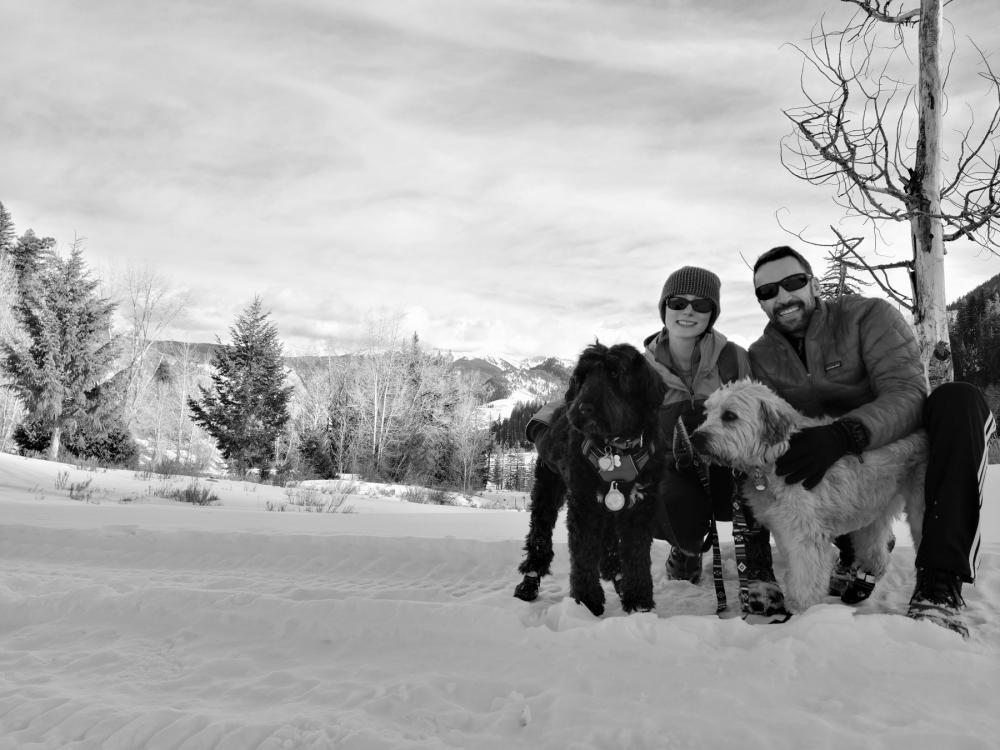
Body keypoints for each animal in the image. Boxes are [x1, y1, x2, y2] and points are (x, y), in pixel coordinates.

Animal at [516, 344, 664, 612]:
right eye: (582, 377)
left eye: (615, 373)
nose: (584, 408)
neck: (616, 449)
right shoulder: (584, 505)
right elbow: (583, 553)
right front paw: (587, 601)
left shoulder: (640, 507)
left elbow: (637, 554)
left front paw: (639, 601)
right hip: (547, 490)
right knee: (539, 537)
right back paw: (529, 582)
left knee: (609, 548)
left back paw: (618, 579)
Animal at [688, 382, 928, 612]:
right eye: (708, 413)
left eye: (729, 415)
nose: (695, 438)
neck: (777, 456)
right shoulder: (783, 527)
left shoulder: (804, 532)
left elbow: (805, 574)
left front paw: (801, 609)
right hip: (871, 505)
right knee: (876, 549)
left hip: (917, 509)